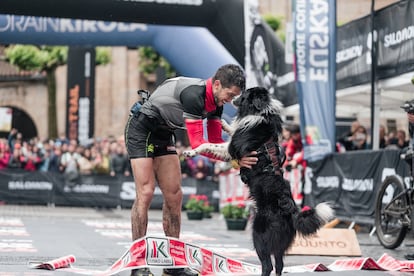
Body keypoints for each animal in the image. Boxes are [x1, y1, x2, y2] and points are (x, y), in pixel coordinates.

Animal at [184, 87, 334, 276]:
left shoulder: (232, 150)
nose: (232, 97)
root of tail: (291, 210)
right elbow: (230, 131)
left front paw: (191, 152)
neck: (260, 112)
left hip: (259, 236)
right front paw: (225, 124)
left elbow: (208, 145)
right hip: (279, 244)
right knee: (279, 265)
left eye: (244, 94)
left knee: (267, 265)